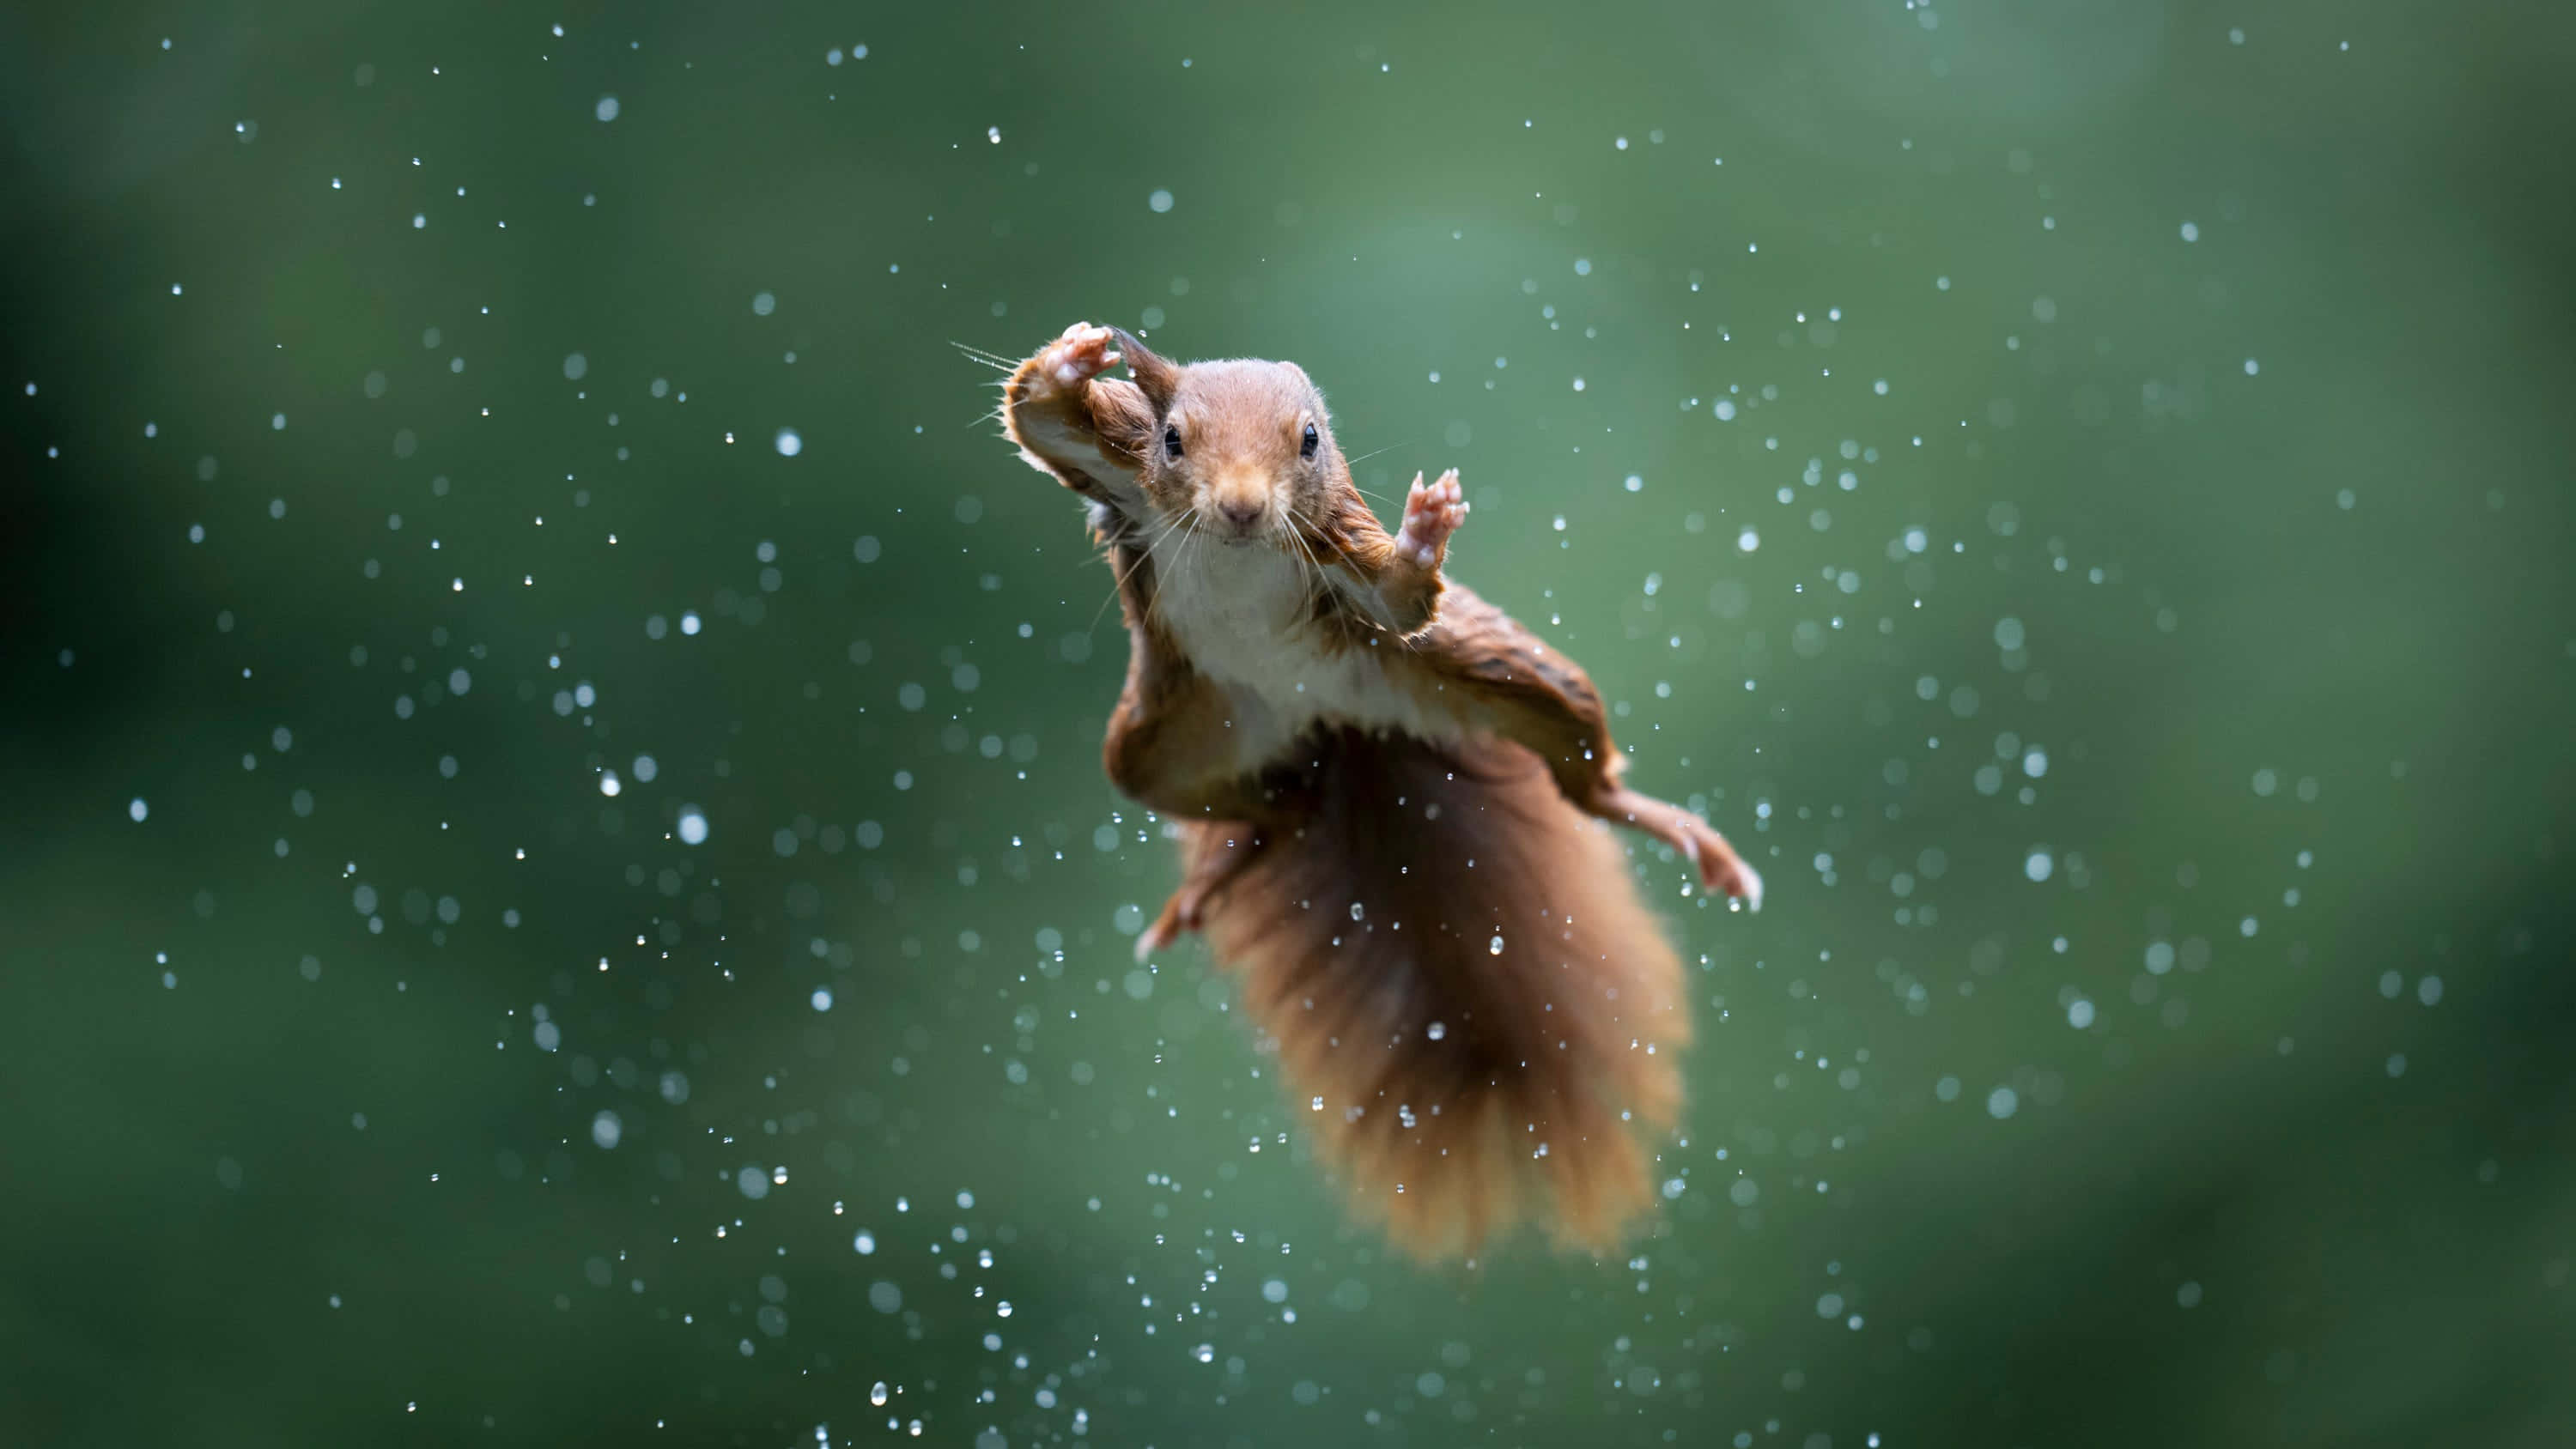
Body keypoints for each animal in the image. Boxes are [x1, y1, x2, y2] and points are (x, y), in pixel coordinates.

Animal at [997, 322, 1763, 1259]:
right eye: (1174, 439)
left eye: (1309, 440)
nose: (1243, 508)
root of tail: (1334, 722)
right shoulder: (1121, 469)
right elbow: (1039, 418)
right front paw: (1075, 357)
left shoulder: (1338, 551)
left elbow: (1400, 597)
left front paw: (1425, 530)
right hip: (1163, 744)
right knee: (1274, 810)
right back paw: (1215, 877)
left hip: (1500, 676)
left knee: (1582, 777)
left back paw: (1688, 836)